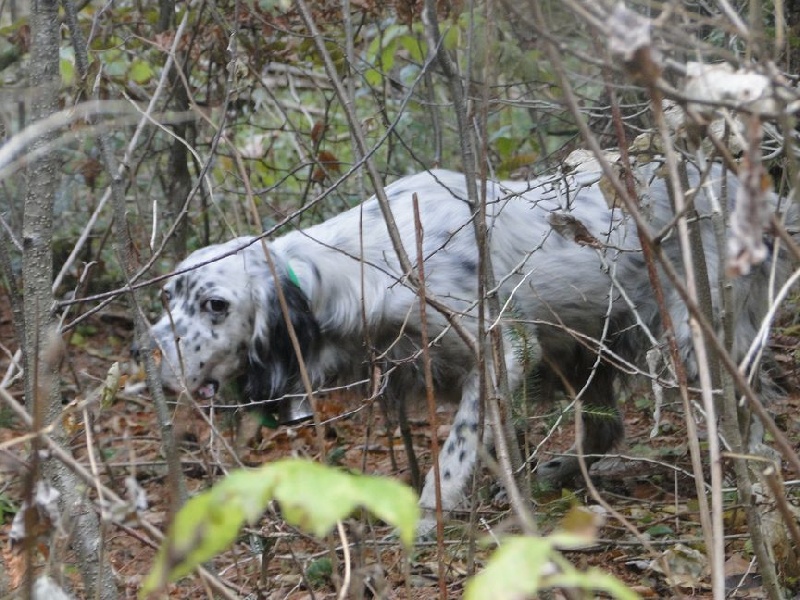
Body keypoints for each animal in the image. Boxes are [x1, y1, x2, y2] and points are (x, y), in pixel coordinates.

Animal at [147, 163, 792, 528]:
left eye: (215, 305)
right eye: (167, 297)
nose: (148, 354)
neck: (371, 260)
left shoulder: (497, 352)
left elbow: (456, 446)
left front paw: (431, 507)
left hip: (694, 337)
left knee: (750, 410)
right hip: (575, 345)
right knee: (605, 429)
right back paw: (561, 472)